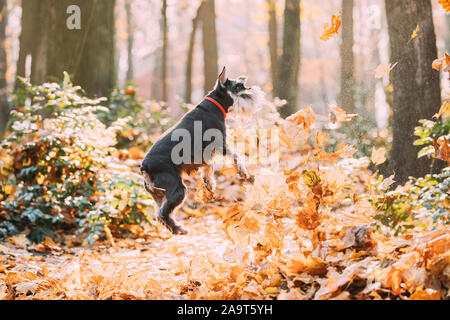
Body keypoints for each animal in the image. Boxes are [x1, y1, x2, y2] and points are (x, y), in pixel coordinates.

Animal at [141, 66, 255, 234]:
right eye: (237, 87)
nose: (249, 89)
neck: (214, 106)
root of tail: (145, 167)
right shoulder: (220, 143)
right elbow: (235, 156)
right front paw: (243, 172)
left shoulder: (204, 154)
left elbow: (208, 167)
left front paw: (210, 184)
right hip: (177, 189)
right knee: (163, 214)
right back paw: (179, 229)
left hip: (159, 195)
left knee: (160, 213)